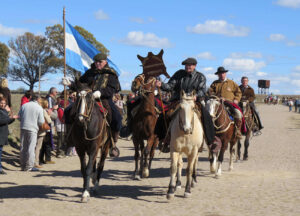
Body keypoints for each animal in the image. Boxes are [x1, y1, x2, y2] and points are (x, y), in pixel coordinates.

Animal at [131, 49, 169, 179]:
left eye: (149, 78)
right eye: (141, 71)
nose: (134, 84)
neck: (145, 115)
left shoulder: (151, 137)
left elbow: (147, 152)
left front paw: (145, 171)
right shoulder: (137, 136)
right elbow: (138, 153)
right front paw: (137, 172)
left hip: (156, 139)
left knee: (151, 153)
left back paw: (149, 167)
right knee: (143, 151)